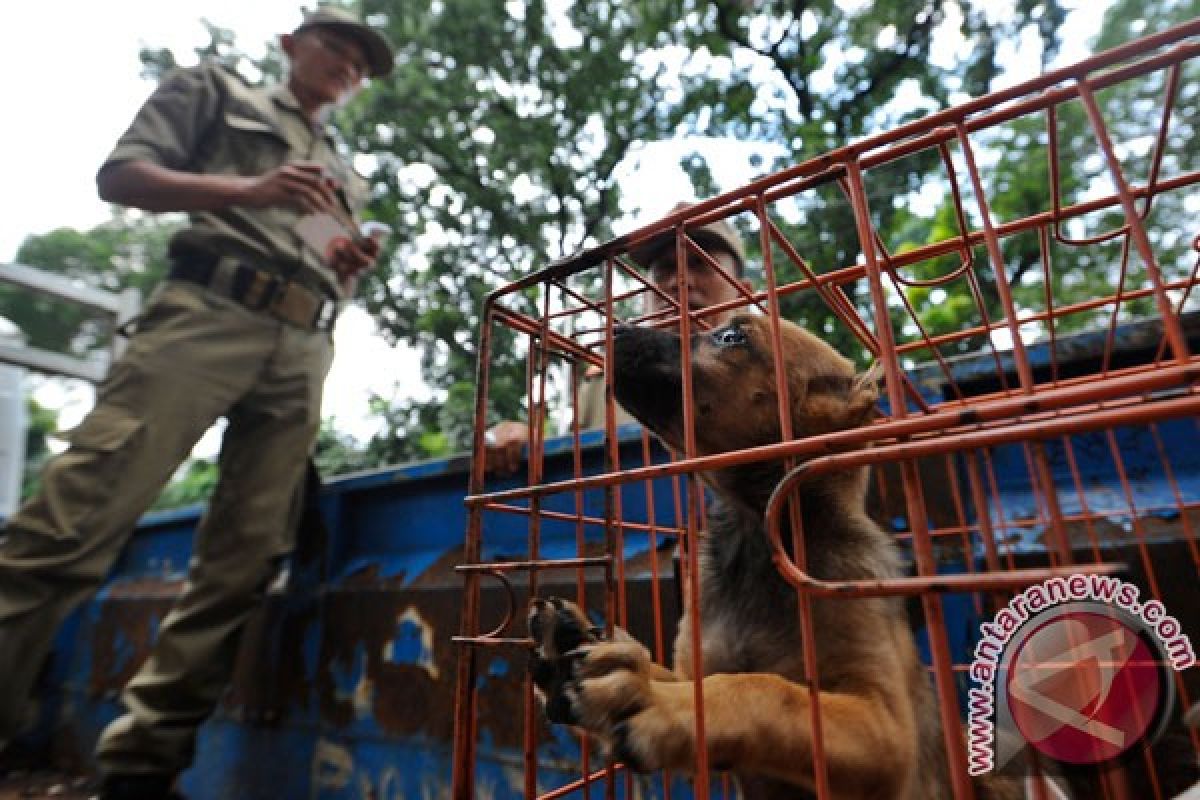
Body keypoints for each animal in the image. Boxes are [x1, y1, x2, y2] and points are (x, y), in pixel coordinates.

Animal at [528, 316, 1022, 800]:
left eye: (732, 337)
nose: (611, 330)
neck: (756, 539)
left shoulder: (887, 731)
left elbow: (768, 690)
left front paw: (654, 698)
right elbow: (683, 678)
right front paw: (588, 648)